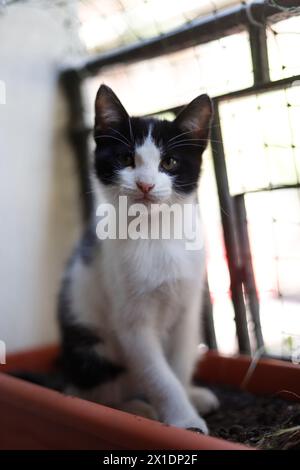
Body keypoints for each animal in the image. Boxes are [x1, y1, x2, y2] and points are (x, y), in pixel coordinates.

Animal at [58, 84, 218, 434]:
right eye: (125, 158)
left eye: (169, 162)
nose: (145, 184)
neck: (156, 235)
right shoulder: (131, 322)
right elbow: (158, 375)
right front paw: (184, 420)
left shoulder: (188, 308)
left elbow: (178, 364)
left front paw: (187, 400)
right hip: (91, 348)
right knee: (94, 393)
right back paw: (135, 408)